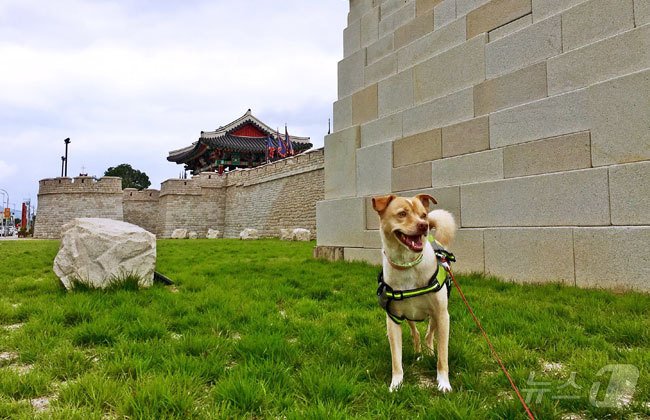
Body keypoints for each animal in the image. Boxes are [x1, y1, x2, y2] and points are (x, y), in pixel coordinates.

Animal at [370, 194, 456, 394]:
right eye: (402, 214)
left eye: (423, 215)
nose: (424, 226)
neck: (407, 265)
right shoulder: (393, 319)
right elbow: (396, 358)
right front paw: (396, 383)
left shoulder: (442, 315)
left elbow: (443, 355)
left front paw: (443, 383)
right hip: (409, 317)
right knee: (416, 334)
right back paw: (418, 354)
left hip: (435, 317)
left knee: (429, 336)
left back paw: (429, 353)